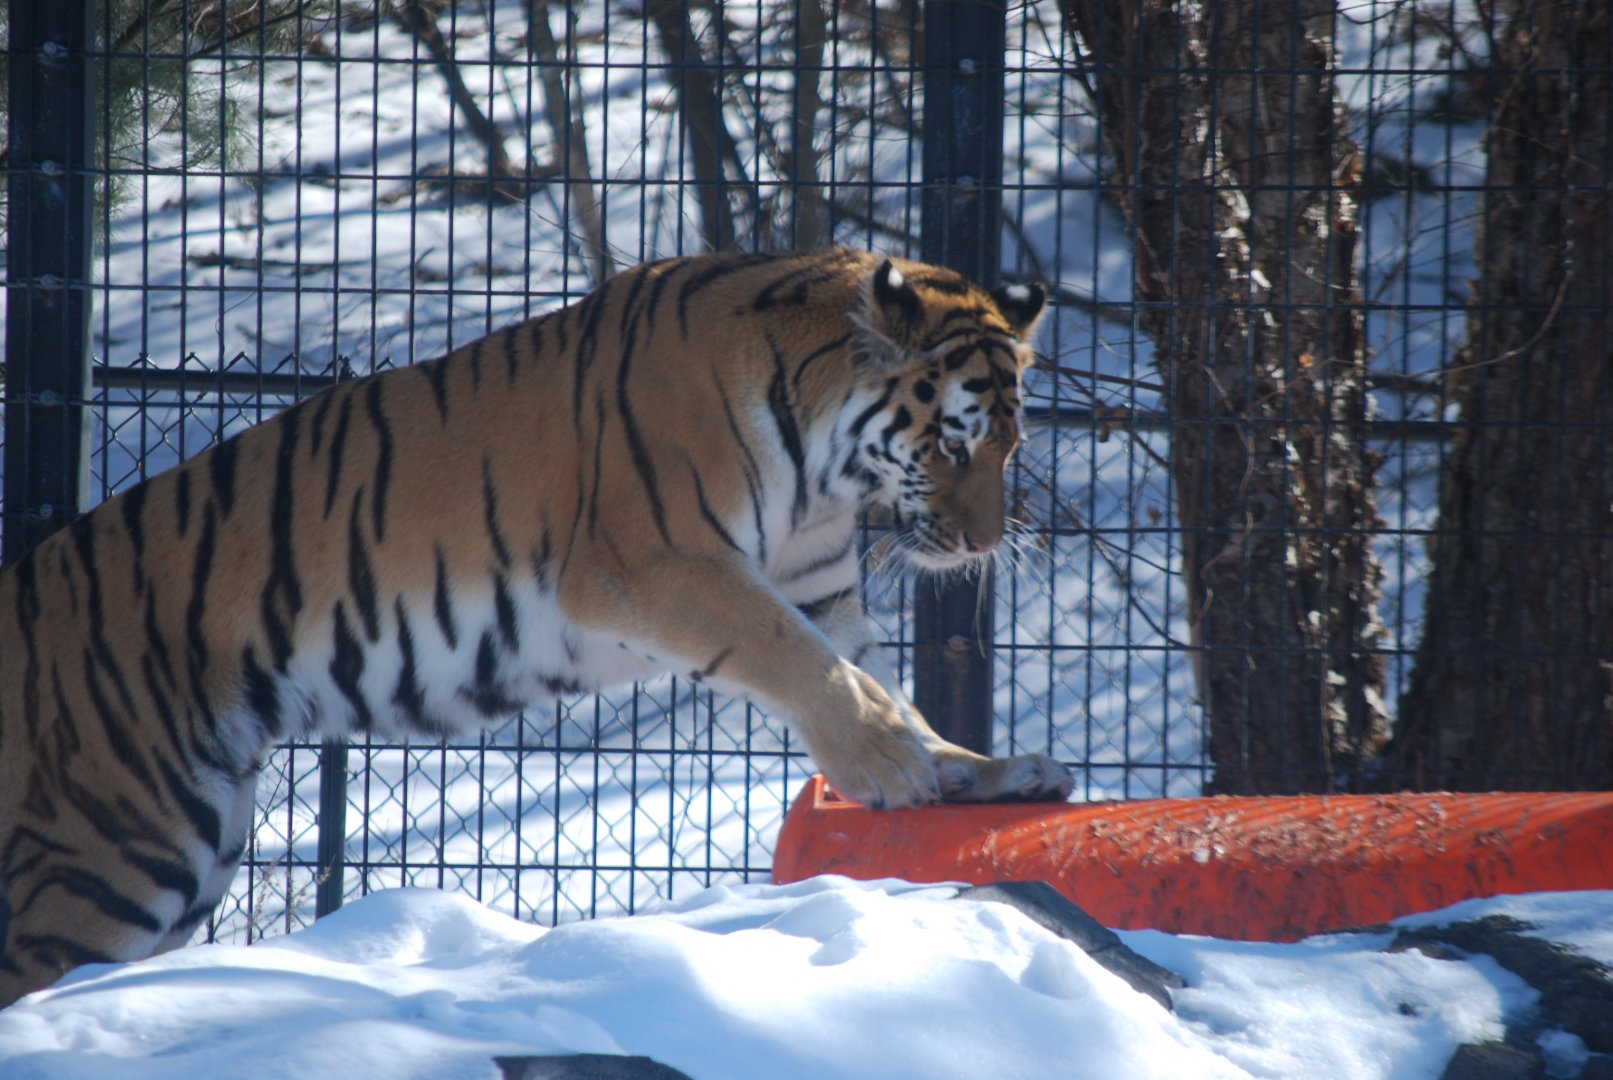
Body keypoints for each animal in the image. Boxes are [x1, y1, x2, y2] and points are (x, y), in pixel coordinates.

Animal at [0, 248, 1074, 1008]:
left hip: (178, 859)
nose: (985, 541)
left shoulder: (816, 589)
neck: (823, 469)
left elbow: (868, 676)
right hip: (112, 853)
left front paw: (974, 771)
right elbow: (804, 663)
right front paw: (895, 769)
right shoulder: (656, 563)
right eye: (954, 443)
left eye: (1011, 442)